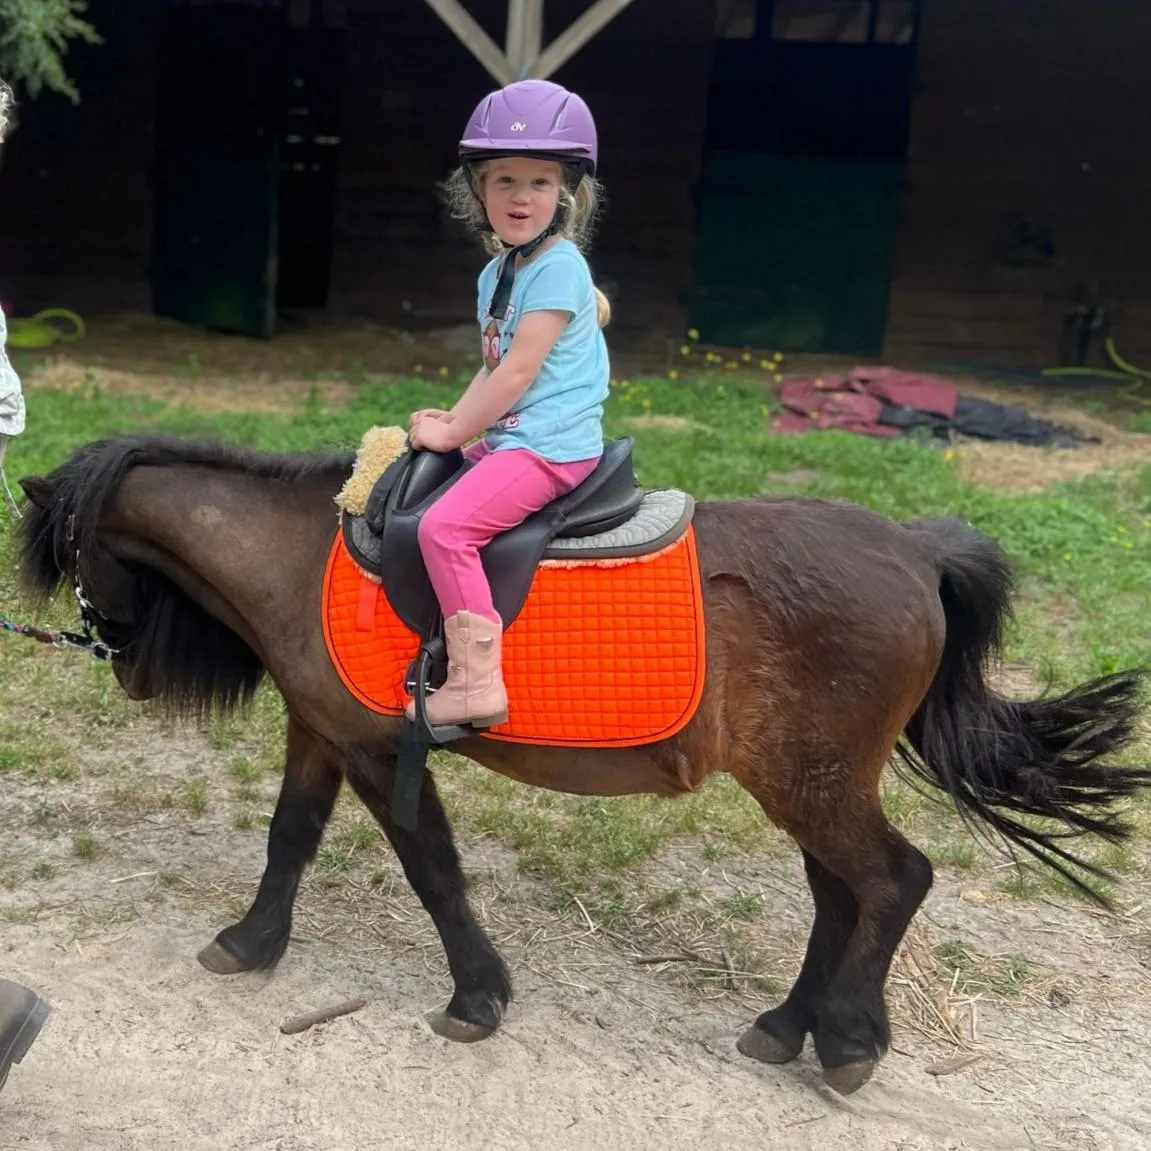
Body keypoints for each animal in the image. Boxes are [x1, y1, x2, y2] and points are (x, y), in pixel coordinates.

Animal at [15, 433, 1149, 1096]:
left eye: (69, 559)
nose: (124, 669)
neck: (306, 546)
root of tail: (916, 552)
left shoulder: (382, 750)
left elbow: (434, 873)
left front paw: (477, 995)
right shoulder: (322, 731)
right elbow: (288, 838)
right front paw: (250, 943)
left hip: (813, 782)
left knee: (892, 880)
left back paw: (848, 1040)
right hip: (803, 782)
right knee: (843, 896)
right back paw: (786, 1025)